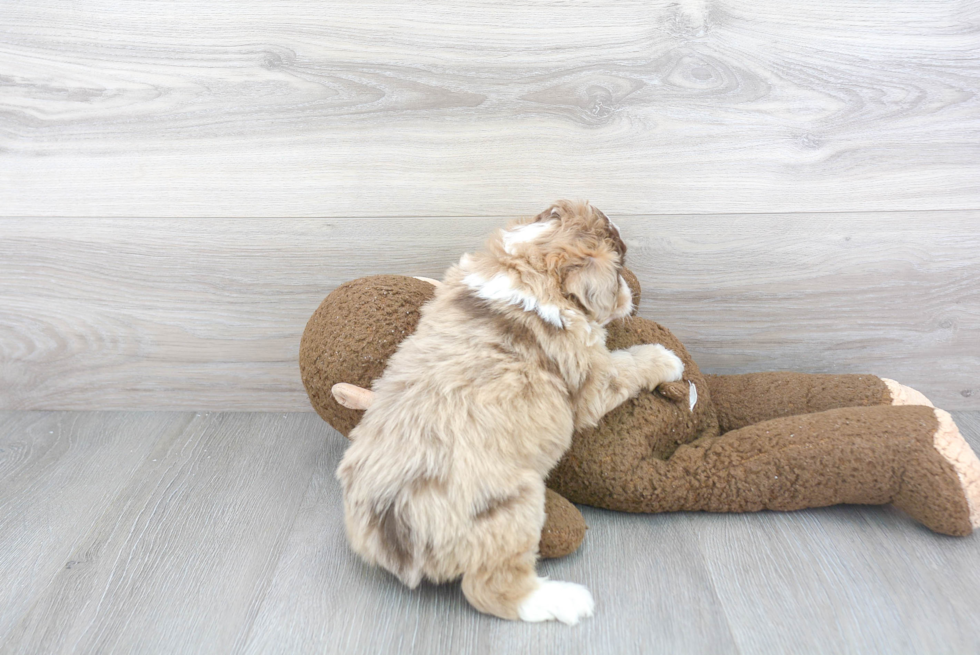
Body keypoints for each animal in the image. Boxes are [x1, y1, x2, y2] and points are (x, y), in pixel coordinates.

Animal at [334, 201, 680, 624]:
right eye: (618, 271)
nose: (631, 294)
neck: (529, 264)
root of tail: (390, 534)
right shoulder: (594, 380)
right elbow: (629, 365)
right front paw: (666, 359)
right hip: (514, 507)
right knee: (490, 590)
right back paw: (566, 599)